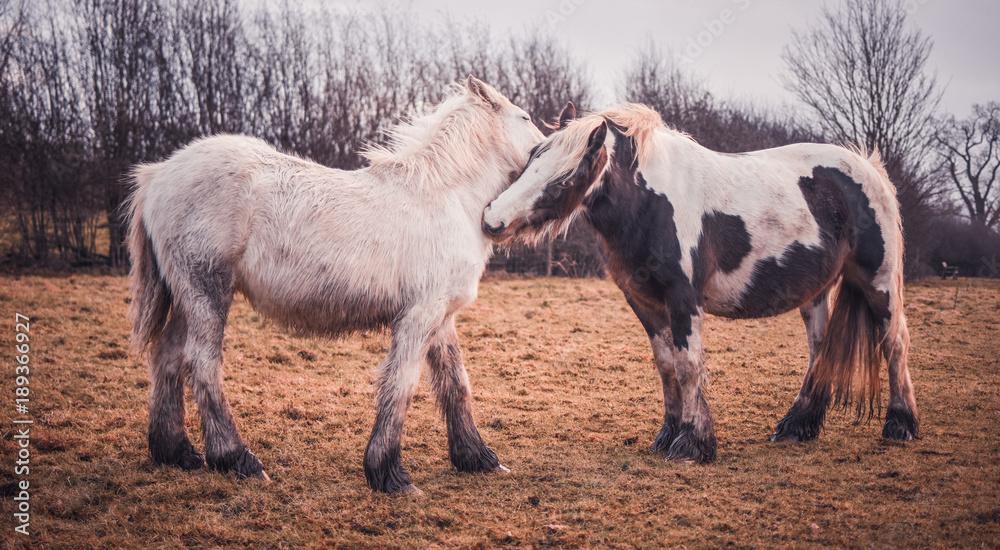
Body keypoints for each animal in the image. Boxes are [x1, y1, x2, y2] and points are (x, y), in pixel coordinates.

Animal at [126, 77, 544, 494]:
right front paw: (389, 474)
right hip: (207, 291)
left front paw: (478, 458)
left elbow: (455, 382)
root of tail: (158, 174)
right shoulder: (419, 315)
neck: (446, 197)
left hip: (186, 297)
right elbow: (402, 384)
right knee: (202, 363)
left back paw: (177, 452)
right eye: (525, 117)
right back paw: (236, 459)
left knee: (167, 356)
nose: (545, 151)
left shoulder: (440, 318)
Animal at [482, 102, 918, 463]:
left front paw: (692, 443)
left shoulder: (682, 299)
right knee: (819, 350)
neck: (651, 202)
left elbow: (689, 364)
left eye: (565, 177)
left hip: (878, 282)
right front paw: (668, 435)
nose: (491, 219)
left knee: (894, 342)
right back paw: (797, 427)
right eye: (532, 159)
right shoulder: (645, 302)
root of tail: (869, 169)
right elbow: (666, 365)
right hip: (815, 292)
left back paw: (900, 425)